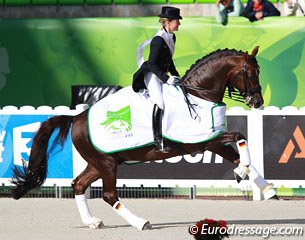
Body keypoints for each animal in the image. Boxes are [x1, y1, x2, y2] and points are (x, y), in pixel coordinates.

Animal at [10, 45, 276, 231]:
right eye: (250, 73)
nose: (257, 102)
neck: (199, 94)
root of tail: (76, 118)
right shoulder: (204, 141)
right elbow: (240, 136)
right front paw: (244, 174)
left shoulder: (212, 140)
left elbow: (241, 155)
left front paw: (265, 188)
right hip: (106, 164)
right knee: (108, 195)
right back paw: (140, 222)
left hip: (100, 163)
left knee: (79, 184)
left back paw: (93, 222)